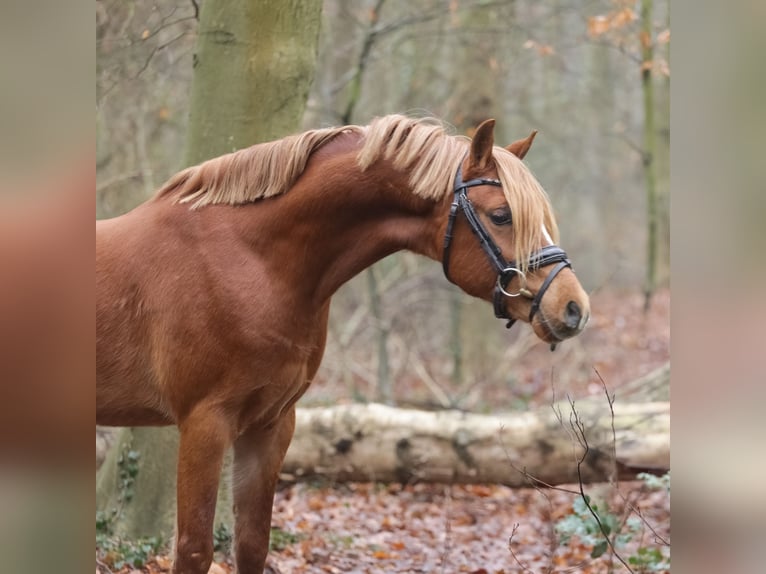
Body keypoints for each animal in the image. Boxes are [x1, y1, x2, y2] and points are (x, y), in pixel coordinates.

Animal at [94, 115, 588, 572]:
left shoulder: (271, 424)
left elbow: (251, 544)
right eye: (502, 215)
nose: (573, 307)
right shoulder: (204, 424)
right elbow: (194, 549)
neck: (250, 259)